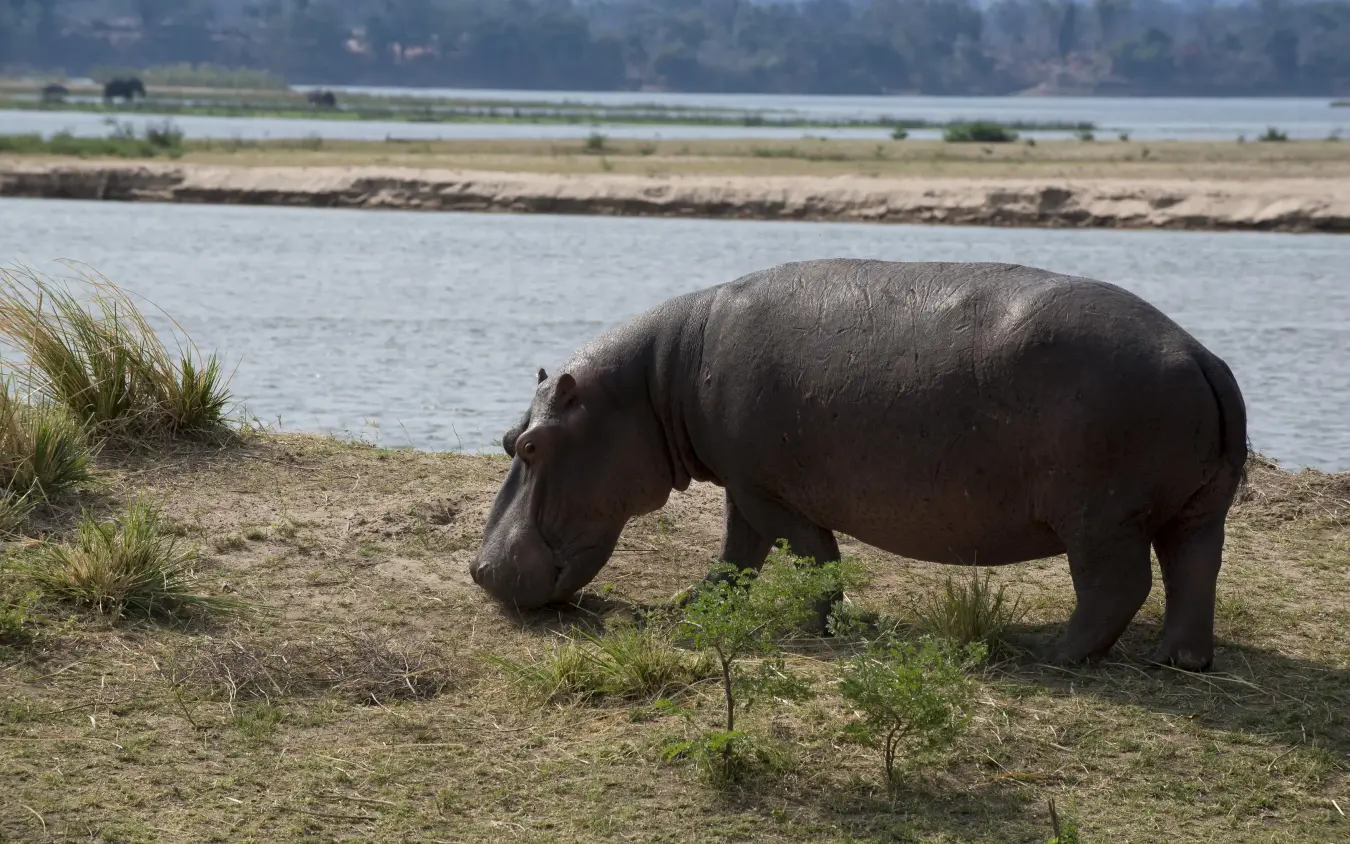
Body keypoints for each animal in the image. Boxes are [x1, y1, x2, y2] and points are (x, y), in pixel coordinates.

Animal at [470, 259, 1248, 671]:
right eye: (506, 439)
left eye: (533, 447)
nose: (477, 570)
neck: (653, 383)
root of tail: (1199, 353)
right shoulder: (742, 484)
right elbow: (735, 555)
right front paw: (691, 604)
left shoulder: (767, 488)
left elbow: (809, 553)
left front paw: (817, 623)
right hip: (1197, 510)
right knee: (1194, 572)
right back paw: (1180, 660)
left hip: (1100, 517)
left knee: (1118, 585)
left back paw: (1050, 654)